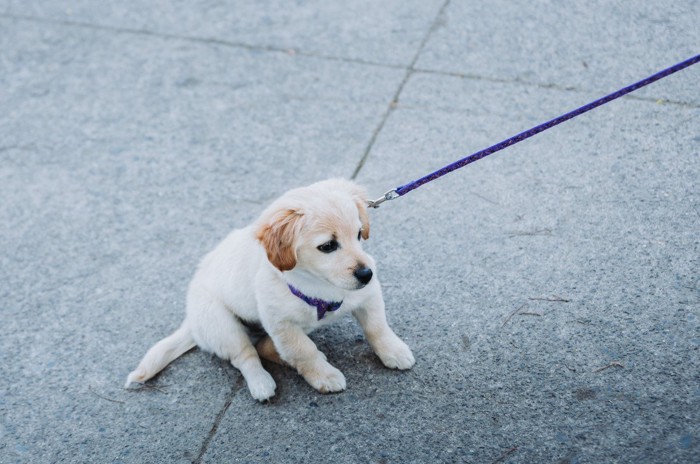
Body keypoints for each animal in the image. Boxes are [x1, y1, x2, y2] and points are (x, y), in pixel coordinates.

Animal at [124, 179, 416, 400]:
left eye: (358, 234)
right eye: (327, 246)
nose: (367, 274)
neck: (320, 285)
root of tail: (191, 323)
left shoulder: (368, 295)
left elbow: (377, 327)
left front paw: (394, 351)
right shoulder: (281, 324)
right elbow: (303, 351)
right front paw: (323, 375)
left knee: (265, 346)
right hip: (222, 325)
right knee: (246, 354)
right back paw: (261, 383)